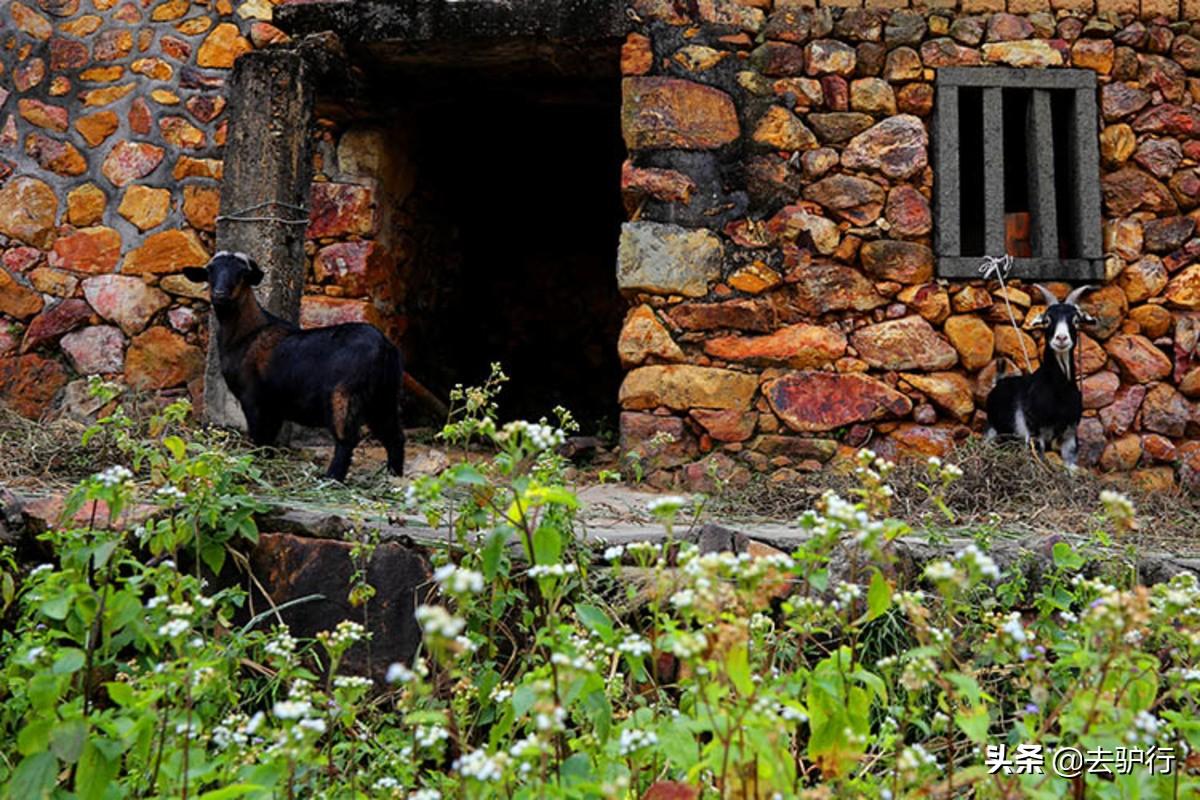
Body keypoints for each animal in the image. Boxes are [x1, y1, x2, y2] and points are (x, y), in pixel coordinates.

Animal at [182, 253, 405, 482]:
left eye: (242, 274)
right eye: (210, 271)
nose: (220, 294)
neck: (248, 333)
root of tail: (383, 346)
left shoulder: (253, 399)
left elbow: (259, 437)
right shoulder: (274, 406)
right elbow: (269, 440)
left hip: (344, 396)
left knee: (346, 440)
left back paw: (331, 479)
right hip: (384, 397)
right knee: (395, 437)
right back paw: (393, 475)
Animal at [984, 284, 1099, 465]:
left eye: (1076, 320)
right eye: (1047, 320)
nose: (1061, 338)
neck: (1059, 392)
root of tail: (999, 381)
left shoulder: (1070, 435)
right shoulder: (1034, 433)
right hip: (993, 427)